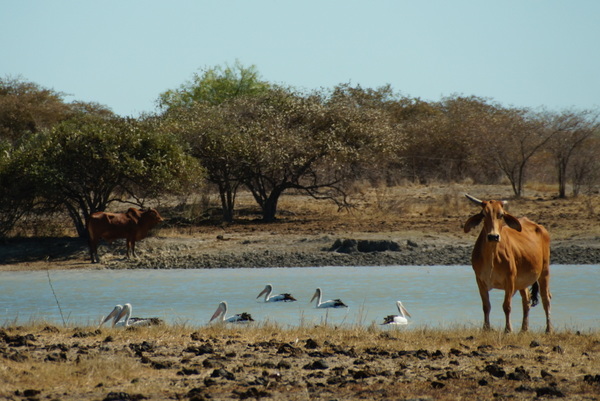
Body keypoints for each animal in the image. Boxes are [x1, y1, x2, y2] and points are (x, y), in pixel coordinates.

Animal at [464, 194, 552, 332]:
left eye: (501, 215)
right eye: (484, 214)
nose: (493, 236)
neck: (491, 256)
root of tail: (540, 227)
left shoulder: (510, 279)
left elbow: (507, 306)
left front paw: (508, 330)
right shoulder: (480, 280)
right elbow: (486, 306)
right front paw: (486, 328)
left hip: (544, 271)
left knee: (546, 298)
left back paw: (548, 329)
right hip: (522, 281)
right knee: (526, 300)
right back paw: (523, 329)